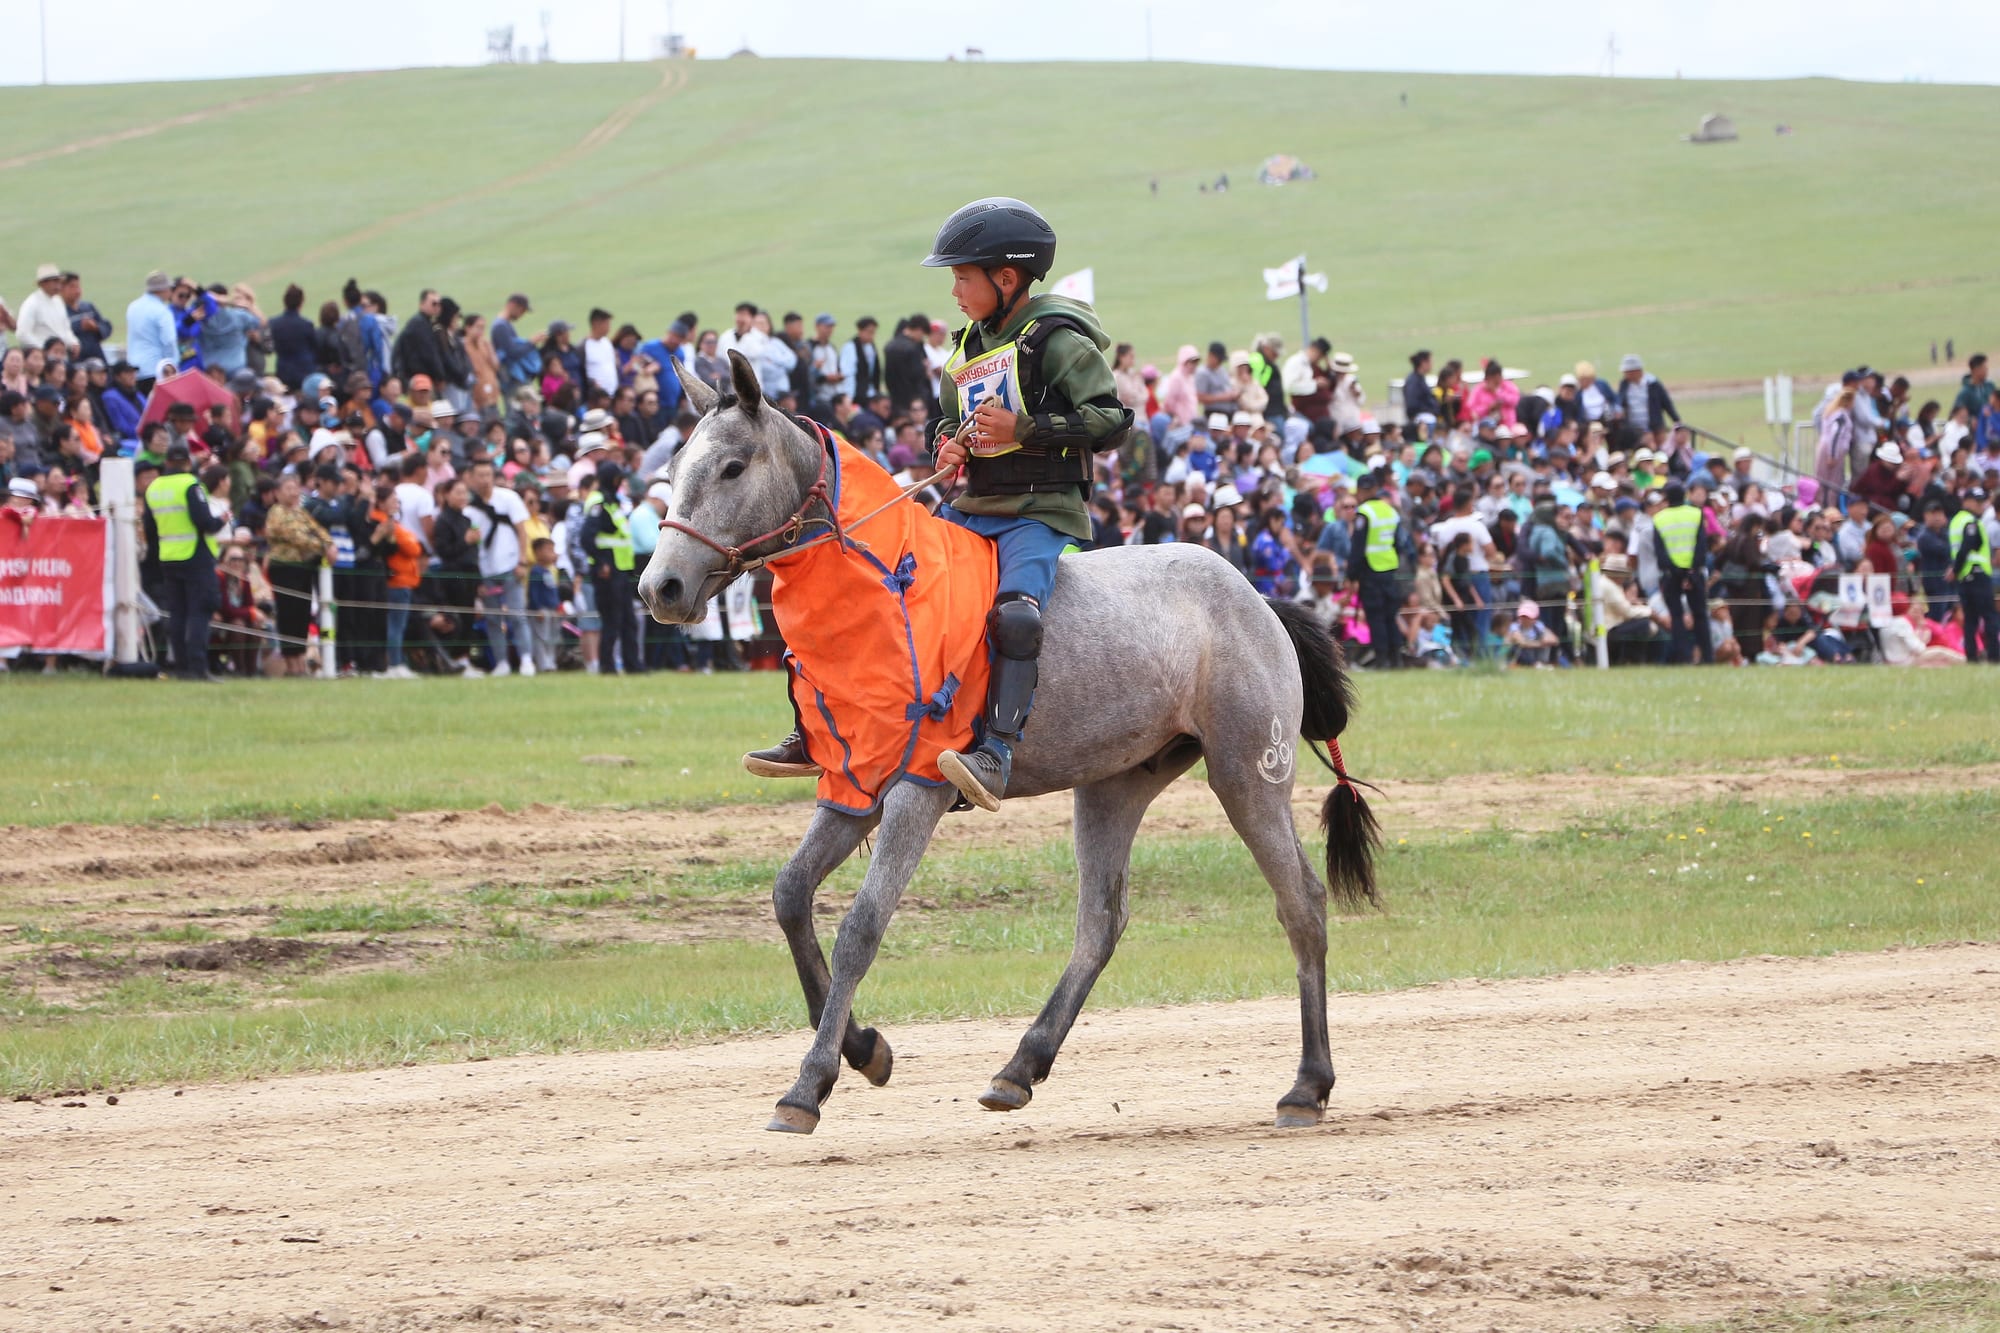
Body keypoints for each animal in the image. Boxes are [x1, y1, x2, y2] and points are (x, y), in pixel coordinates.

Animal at [639, 351, 1379, 1134]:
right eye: (677, 465)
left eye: (732, 467)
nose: (661, 586)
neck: (884, 588)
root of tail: (1256, 598)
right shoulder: (853, 789)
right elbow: (789, 897)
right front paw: (862, 1048)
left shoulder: (918, 791)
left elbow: (861, 928)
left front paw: (809, 1083)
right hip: (1114, 784)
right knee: (1101, 923)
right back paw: (1022, 1065)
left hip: (1247, 775)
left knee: (1300, 902)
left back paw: (1308, 1083)